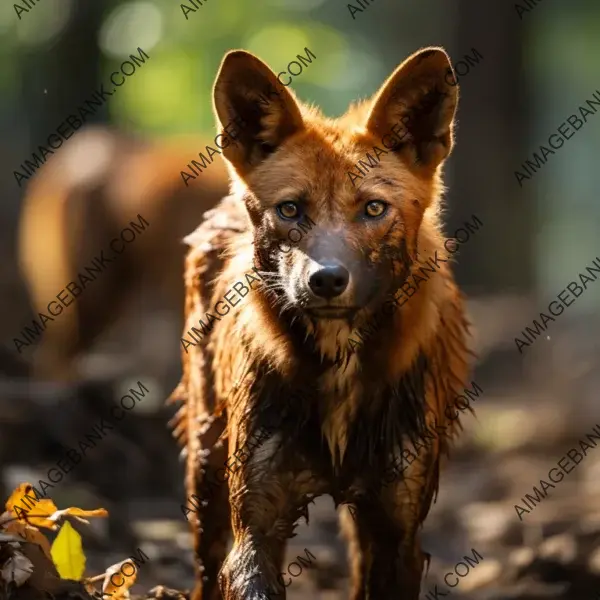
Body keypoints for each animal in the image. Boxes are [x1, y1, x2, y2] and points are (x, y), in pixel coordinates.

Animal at [170, 44, 474, 596]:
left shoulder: (397, 531)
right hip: (206, 472)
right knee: (204, 567)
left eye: (373, 208)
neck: (338, 369)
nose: (326, 279)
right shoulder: (256, 527)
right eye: (290, 210)